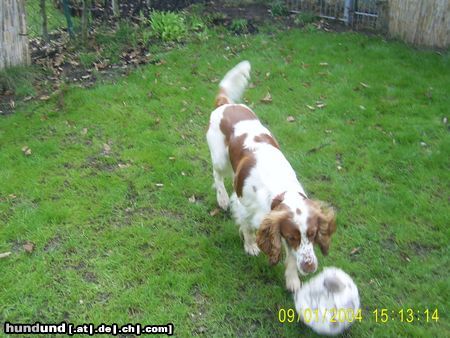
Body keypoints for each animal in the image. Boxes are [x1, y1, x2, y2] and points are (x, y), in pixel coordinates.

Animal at [206, 61, 336, 294]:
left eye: (312, 234)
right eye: (293, 237)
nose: (310, 268)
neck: (280, 189)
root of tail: (226, 104)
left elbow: (292, 258)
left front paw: (293, 279)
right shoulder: (243, 206)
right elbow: (247, 228)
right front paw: (250, 246)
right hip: (220, 158)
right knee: (217, 176)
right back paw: (221, 198)